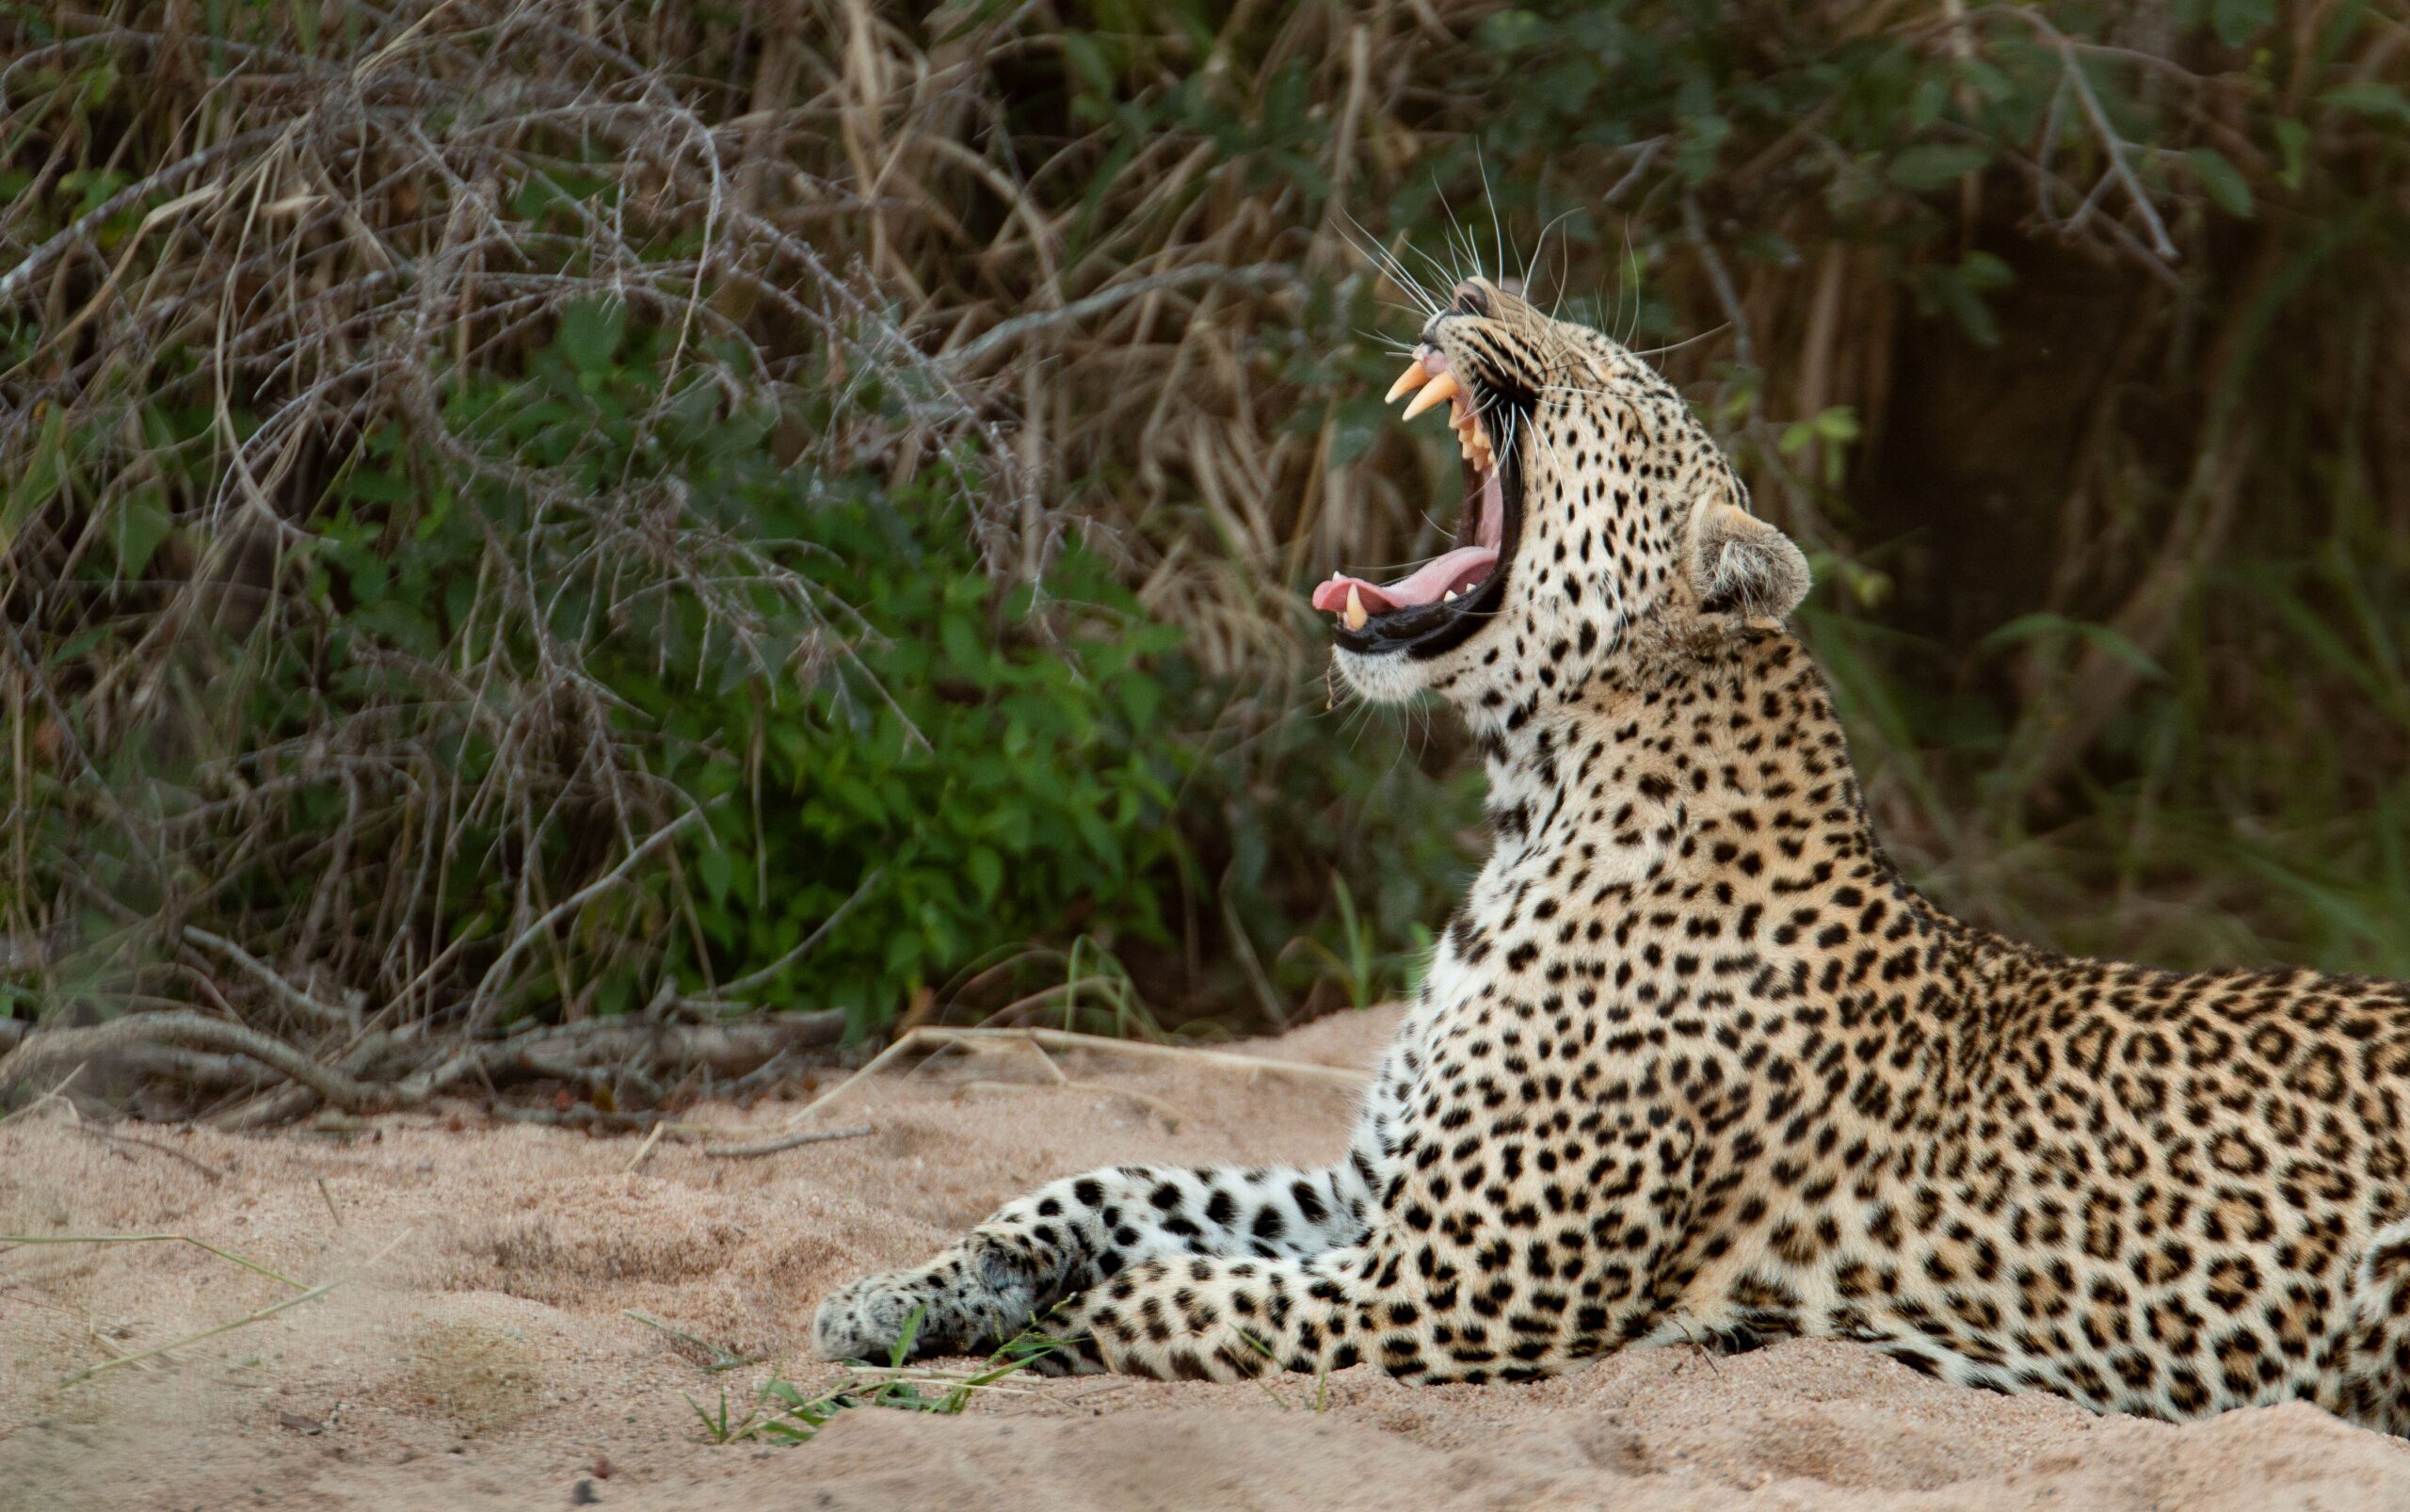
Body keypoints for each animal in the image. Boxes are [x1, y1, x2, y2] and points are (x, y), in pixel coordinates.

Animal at [814, 276, 2410, 1432]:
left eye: (1609, 375)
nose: (1473, 284)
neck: (1537, 807)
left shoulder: (1448, 1284)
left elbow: (1196, 1286)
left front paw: (1062, 1322)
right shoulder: (1377, 1185)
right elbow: (1101, 1184)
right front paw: (910, 1290)